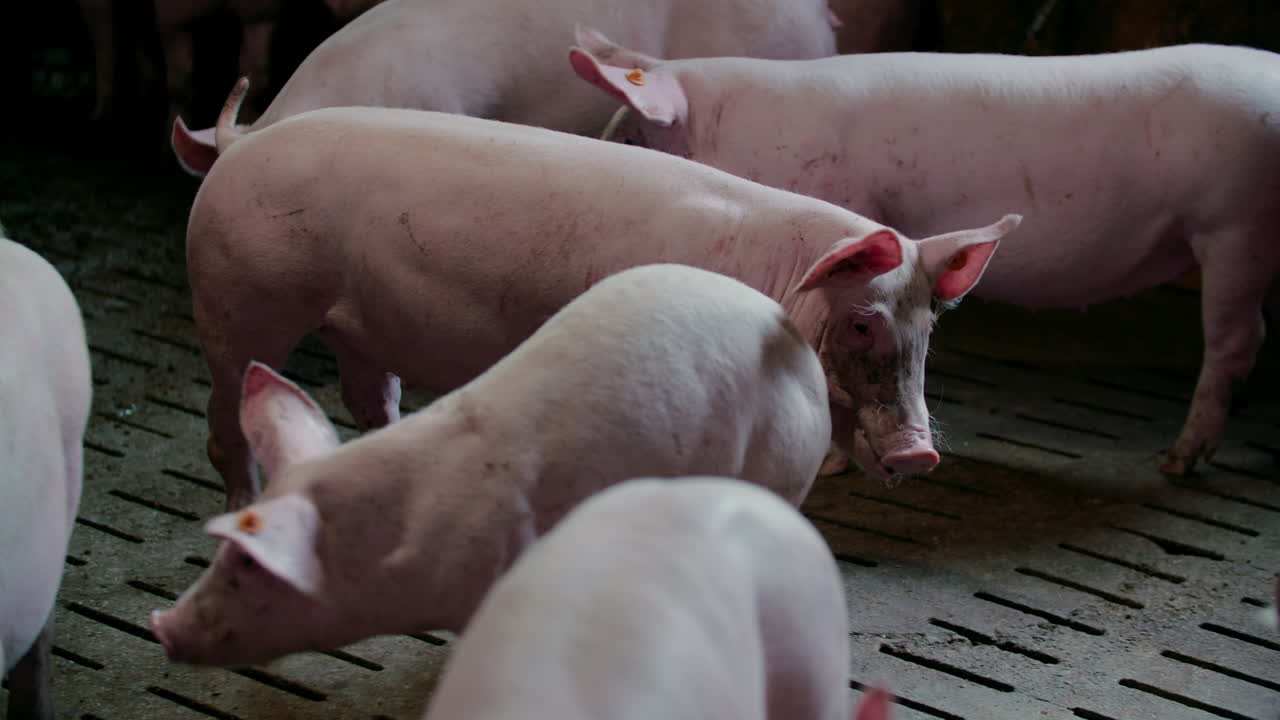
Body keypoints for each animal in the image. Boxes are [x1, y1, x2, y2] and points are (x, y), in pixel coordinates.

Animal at [186, 97, 1019, 510]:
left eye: (928, 330)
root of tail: (236, 149)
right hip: (238, 298)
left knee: (370, 398)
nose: (921, 451)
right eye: (861, 321)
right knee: (228, 412)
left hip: (358, 324)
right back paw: (233, 507)